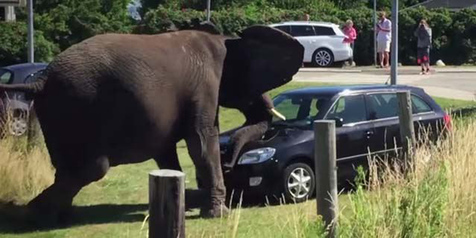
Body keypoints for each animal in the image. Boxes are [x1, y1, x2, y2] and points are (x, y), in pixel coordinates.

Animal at [0, 23, 304, 224]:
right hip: (77, 106)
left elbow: (168, 152)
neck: (227, 40)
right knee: (93, 167)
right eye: (251, 85)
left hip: (57, 113)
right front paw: (218, 214)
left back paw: (57, 214)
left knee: (68, 168)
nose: (230, 161)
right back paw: (35, 211)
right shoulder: (204, 87)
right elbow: (202, 141)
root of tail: (41, 79)